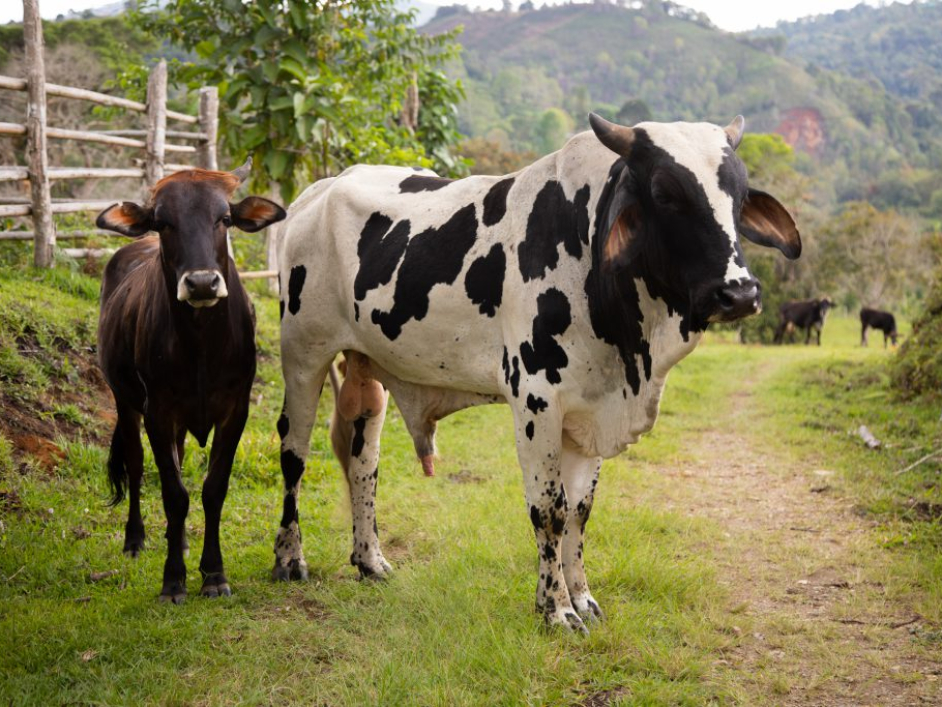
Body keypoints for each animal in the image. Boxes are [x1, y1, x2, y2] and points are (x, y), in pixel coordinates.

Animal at [95, 162, 285, 603]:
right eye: (163, 222)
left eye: (225, 219)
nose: (201, 283)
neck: (200, 345)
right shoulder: (158, 412)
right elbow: (173, 493)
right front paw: (173, 580)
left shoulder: (235, 411)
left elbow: (213, 489)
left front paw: (214, 574)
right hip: (124, 400)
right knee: (135, 464)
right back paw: (136, 540)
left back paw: (178, 541)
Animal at [273, 113, 801, 632]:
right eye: (666, 194)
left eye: (739, 195)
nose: (739, 293)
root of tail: (321, 188)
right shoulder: (536, 400)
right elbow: (550, 510)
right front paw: (556, 609)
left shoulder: (590, 409)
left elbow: (580, 512)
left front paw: (583, 598)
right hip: (302, 355)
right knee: (294, 452)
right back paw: (290, 559)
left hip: (367, 366)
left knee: (364, 459)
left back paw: (370, 561)